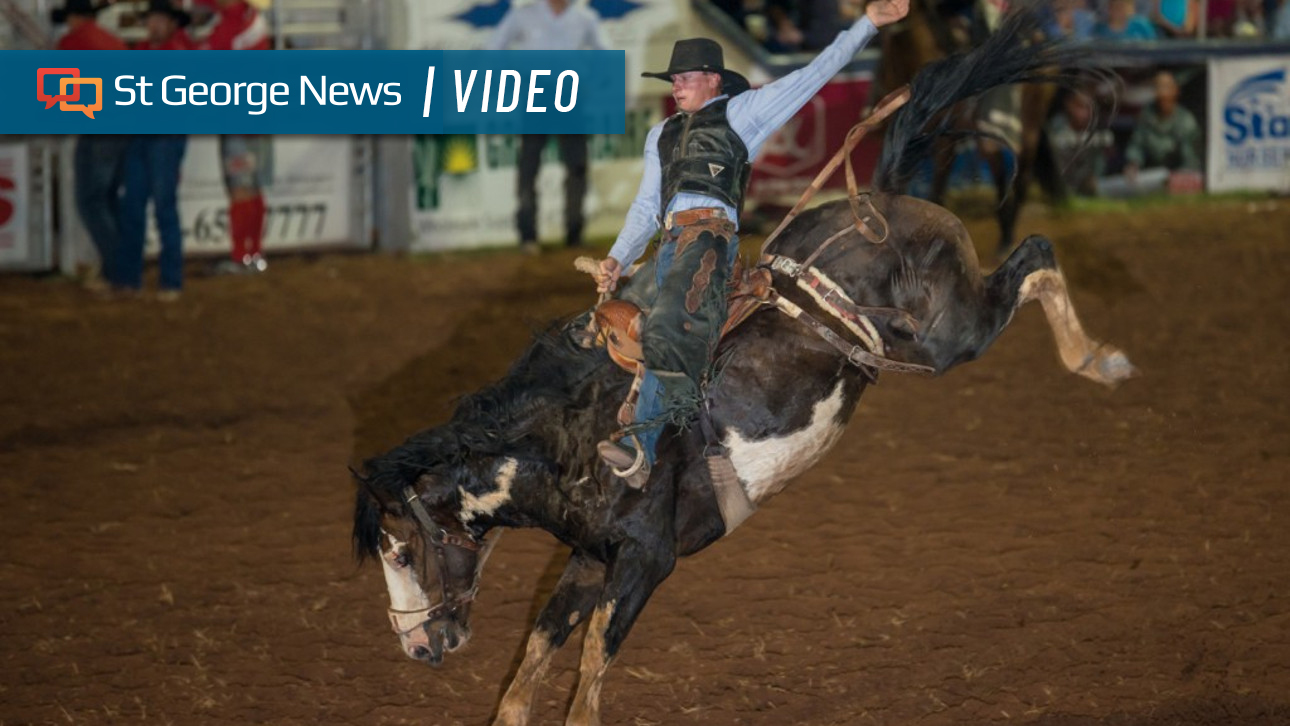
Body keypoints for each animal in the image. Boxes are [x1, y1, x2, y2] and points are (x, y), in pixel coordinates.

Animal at [353, 11, 1140, 726]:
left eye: (403, 551)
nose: (417, 647)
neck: (570, 439)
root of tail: (878, 199)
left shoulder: (646, 560)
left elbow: (591, 663)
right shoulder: (590, 558)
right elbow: (537, 655)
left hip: (952, 334)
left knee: (1036, 253)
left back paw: (1102, 360)